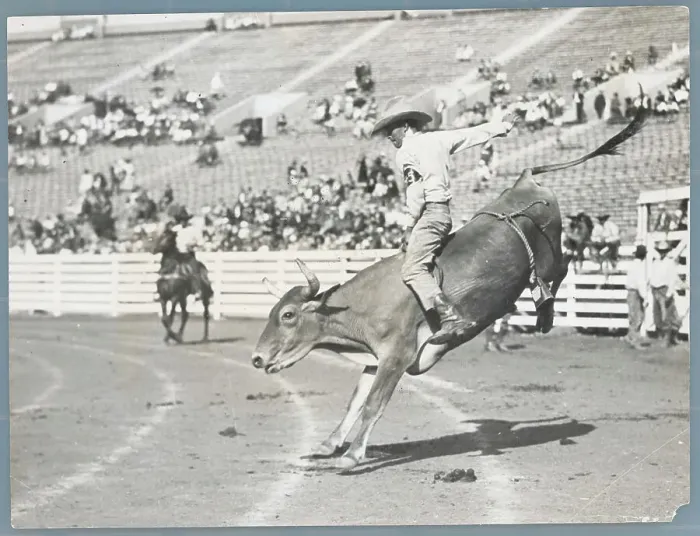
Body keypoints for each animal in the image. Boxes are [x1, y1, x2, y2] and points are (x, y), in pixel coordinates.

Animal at [251, 102, 648, 473]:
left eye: (288, 316)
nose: (256, 358)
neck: (364, 307)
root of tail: (524, 179)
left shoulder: (396, 356)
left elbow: (373, 405)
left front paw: (350, 456)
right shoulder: (375, 360)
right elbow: (355, 401)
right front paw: (329, 444)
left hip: (551, 250)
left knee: (561, 268)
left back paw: (547, 313)